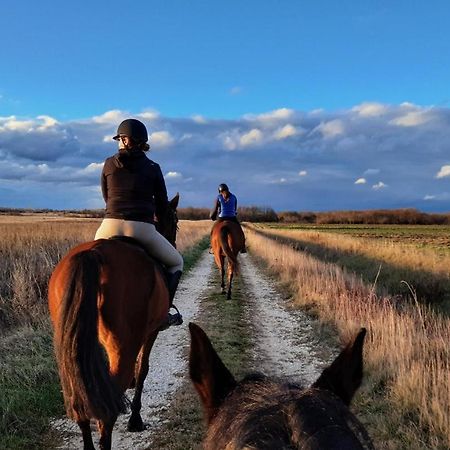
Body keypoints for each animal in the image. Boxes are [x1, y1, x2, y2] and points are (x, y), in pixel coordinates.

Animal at [46, 193, 179, 450]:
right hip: (123, 344)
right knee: (107, 413)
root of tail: (94, 254)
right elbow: (143, 368)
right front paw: (136, 419)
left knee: (80, 399)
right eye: (175, 221)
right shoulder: (151, 332)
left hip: (70, 346)